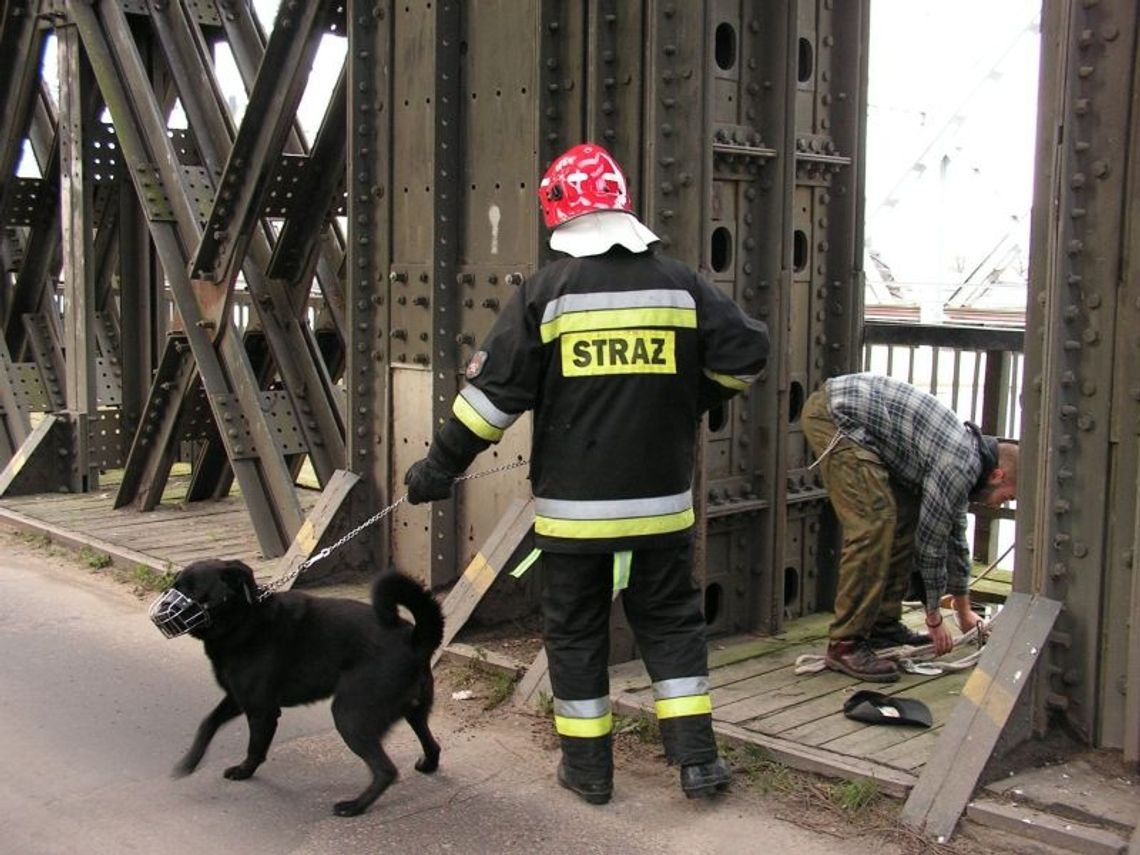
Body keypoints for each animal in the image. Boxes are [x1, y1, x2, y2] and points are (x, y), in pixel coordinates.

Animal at [165, 558, 444, 820]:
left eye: (193, 591)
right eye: (176, 587)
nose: (167, 608)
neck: (245, 619)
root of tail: (414, 639)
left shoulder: (261, 710)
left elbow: (255, 748)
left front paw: (245, 771)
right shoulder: (237, 698)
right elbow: (208, 723)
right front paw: (190, 762)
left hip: (349, 716)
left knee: (386, 770)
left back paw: (355, 806)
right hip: (412, 712)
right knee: (432, 744)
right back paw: (427, 765)